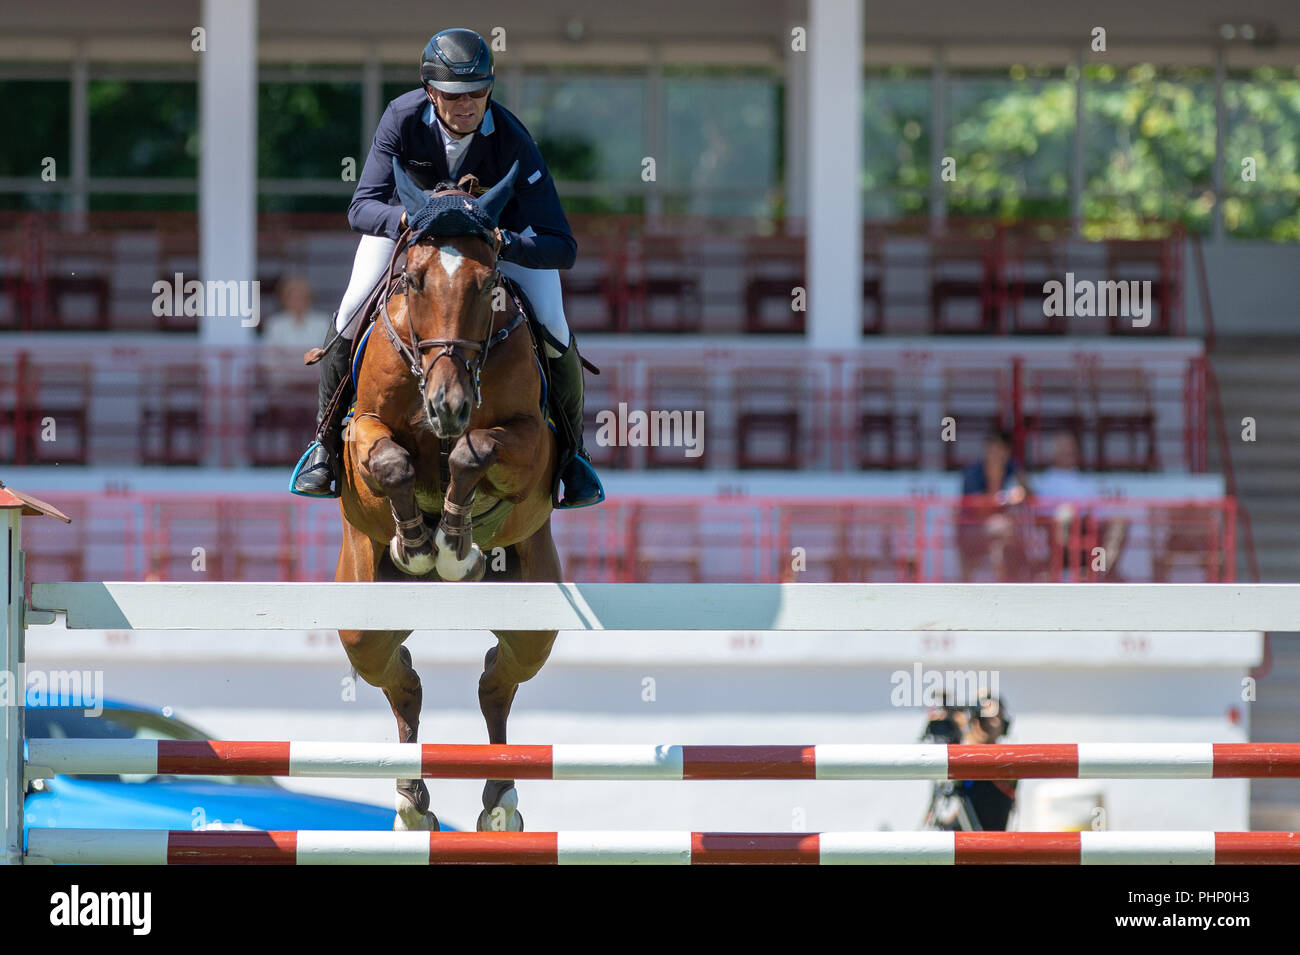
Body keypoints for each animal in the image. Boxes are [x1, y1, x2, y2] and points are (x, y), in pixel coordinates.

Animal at [335, 160, 559, 831]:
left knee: (496, 680)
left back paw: (500, 801)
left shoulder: (532, 443)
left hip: (534, 611)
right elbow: (390, 461)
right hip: (363, 610)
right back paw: (412, 802)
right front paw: (417, 543)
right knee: (397, 674)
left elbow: (472, 451)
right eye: (412, 280)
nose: (448, 405)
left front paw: (455, 545)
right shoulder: (361, 430)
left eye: (489, 287)